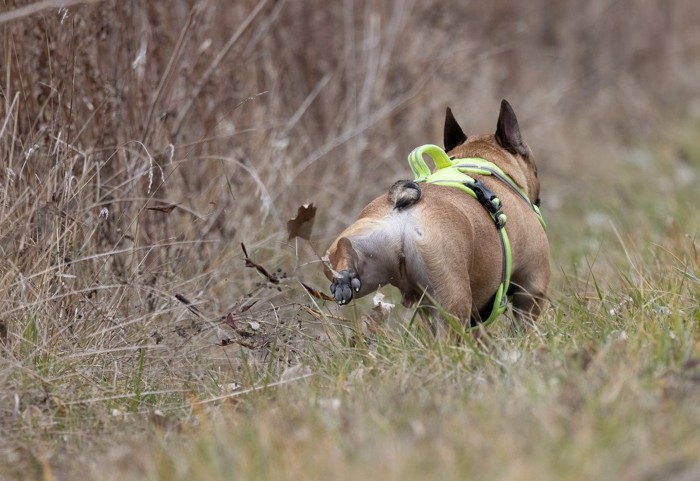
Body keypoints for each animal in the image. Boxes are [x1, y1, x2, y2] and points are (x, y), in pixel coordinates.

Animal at [326, 97, 548, 330]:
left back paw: (344, 278)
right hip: (451, 297)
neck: (477, 162)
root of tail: (403, 207)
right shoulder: (532, 286)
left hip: (367, 248)